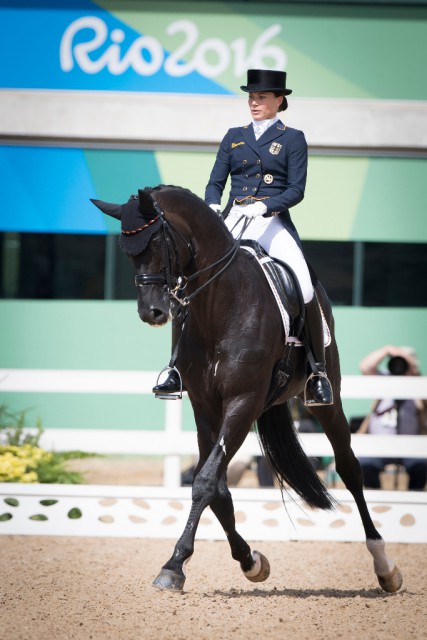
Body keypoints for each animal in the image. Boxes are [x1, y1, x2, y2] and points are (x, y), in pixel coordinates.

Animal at [92, 185, 402, 596]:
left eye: (156, 241)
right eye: (128, 252)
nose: (153, 313)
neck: (219, 307)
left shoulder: (243, 402)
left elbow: (205, 481)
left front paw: (173, 565)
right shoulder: (205, 407)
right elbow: (217, 488)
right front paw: (250, 561)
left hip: (325, 401)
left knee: (350, 469)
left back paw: (385, 567)